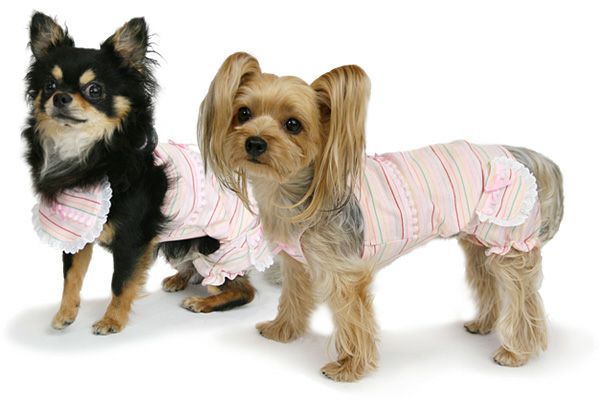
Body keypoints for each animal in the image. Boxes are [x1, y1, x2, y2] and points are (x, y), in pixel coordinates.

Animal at [23, 14, 272, 335]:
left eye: (95, 90)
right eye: (49, 85)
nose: (60, 97)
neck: (90, 155)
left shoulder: (132, 240)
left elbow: (120, 283)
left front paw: (112, 320)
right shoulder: (77, 233)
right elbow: (71, 276)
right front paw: (65, 314)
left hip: (217, 252)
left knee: (243, 290)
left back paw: (202, 302)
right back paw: (180, 278)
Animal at [198, 52, 564, 381]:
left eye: (293, 125)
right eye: (243, 113)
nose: (255, 142)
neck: (298, 191)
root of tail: (519, 153)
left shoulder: (346, 273)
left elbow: (353, 319)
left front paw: (348, 367)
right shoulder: (297, 263)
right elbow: (293, 296)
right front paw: (281, 330)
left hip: (508, 242)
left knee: (522, 297)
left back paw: (517, 352)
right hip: (478, 241)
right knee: (488, 279)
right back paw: (483, 324)